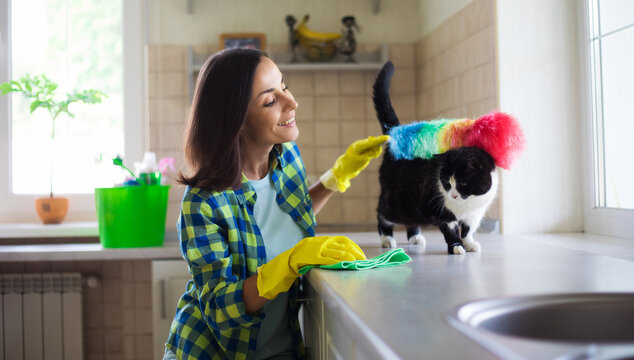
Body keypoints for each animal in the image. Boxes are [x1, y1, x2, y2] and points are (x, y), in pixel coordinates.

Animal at [370, 60, 498, 255]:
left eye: (463, 183)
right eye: (446, 182)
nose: (453, 195)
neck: (466, 204)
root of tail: (399, 134)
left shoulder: (475, 213)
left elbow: (468, 230)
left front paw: (469, 244)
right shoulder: (439, 210)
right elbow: (451, 230)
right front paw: (456, 246)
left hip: (411, 204)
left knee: (411, 219)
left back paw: (415, 237)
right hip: (396, 201)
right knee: (381, 213)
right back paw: (386, 239)